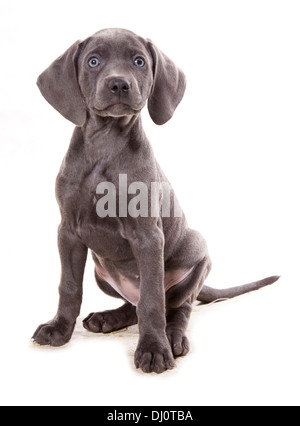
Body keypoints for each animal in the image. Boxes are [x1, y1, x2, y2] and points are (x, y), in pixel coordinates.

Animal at [31, 27, 278, 372]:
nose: (119, 84)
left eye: (139, 61)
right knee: (132, 304)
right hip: (101, 273)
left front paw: (153, 349)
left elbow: (152, 301)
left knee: (175, 307)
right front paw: (59, 329)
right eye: (93, 61)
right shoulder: (68, 231)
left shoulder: (148, 236)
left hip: (197, 253)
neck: (105, 144)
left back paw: (172, 338)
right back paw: (108, 318)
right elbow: (68, 287)